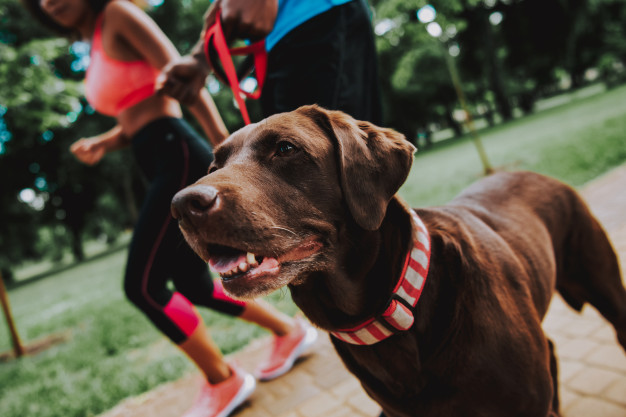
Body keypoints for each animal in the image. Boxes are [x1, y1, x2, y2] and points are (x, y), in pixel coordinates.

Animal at [171, 105, 624, 416]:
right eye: (214, 164)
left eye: (285, 149)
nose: (182, 205)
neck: (394, 313)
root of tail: (535, 174)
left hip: (606, 285)